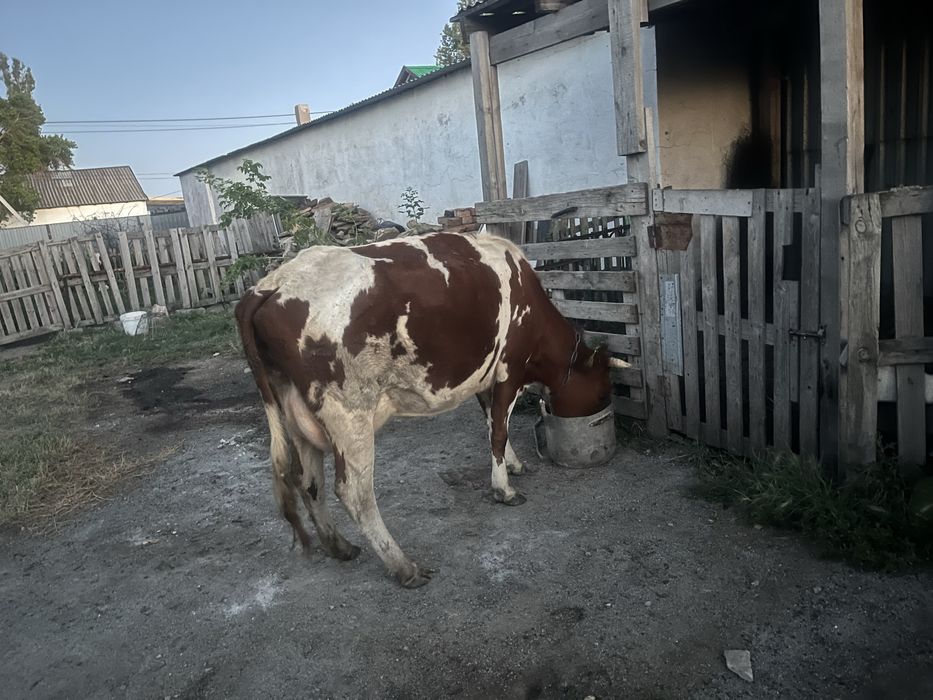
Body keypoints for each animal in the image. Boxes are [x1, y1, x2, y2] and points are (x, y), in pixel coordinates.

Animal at [235, 230, 629, 588]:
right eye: (603, 390)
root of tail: (270, 286)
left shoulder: (484, 376)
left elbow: (490, 422)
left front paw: (514, 465)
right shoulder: (509, 368)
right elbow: (499, 429)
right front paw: (504, 489)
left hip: (296, 413)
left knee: (308, 481)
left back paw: (339, 546)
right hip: (348, 412)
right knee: (354, 492)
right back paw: (403, 566)